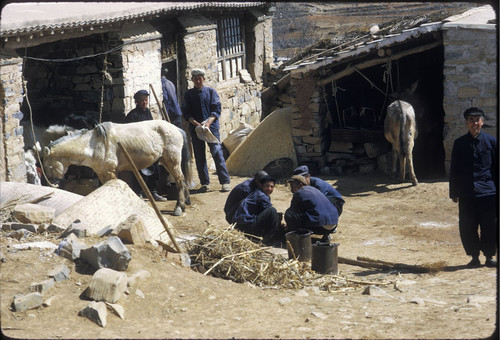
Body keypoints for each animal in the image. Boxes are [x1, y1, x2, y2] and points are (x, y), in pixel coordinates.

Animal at [43, 119, 191, 215]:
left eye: (46, 165)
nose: (52, 183)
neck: (92, 145)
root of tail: (176, 129)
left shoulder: (110, 172)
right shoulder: (102, 172)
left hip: (172, 161)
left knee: (179, 180)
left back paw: (178, 208)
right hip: (165, 161)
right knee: (182, 180)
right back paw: (185, 204)